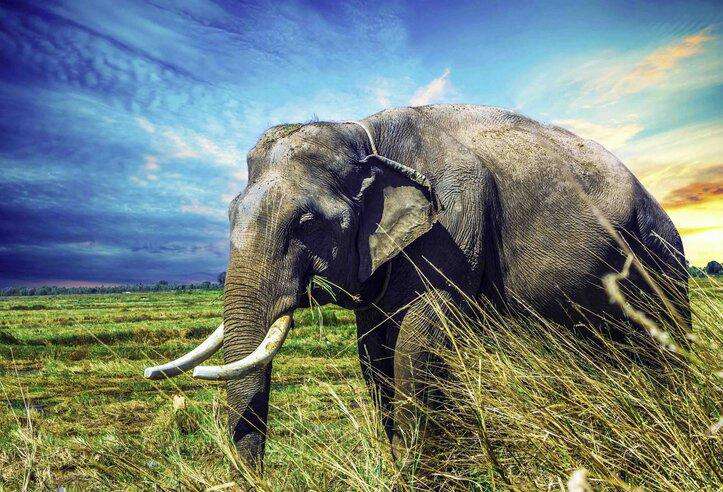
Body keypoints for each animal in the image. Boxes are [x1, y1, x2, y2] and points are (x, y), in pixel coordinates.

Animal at [145, 104, 690, 472]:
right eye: (230, 214)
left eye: (306, 223)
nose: (260, 479)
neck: (363, 131)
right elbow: (373, 349)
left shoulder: (454, 224)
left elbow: (418, 337)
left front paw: (418, 470)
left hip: (661, 256)